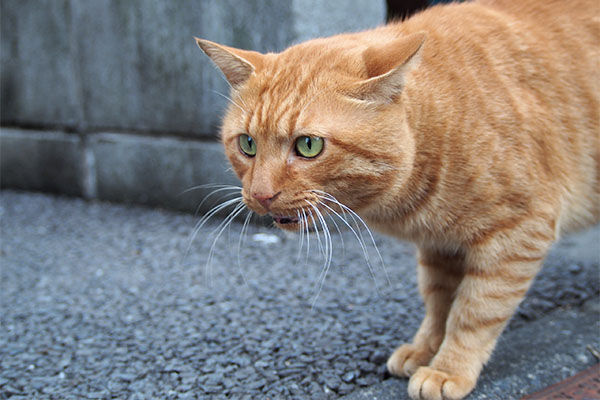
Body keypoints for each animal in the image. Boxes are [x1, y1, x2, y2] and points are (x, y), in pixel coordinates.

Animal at [195, 0, 596, 396]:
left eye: (308, 145)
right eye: (247, 144)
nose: (261, 194)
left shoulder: (519, 232)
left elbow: (474, 311)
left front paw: (448, 368)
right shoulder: (441, 244)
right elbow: (439, 300)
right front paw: (425, 349)